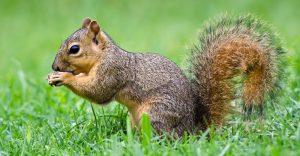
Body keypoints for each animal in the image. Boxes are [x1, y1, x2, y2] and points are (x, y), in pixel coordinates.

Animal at [47, 14, 284, 136]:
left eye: (74, 49)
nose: (55, 66)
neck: (104, 55)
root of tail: (192, 131)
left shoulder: (112, 71)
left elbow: (98, 91)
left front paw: (63, 78)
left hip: (155, 113)